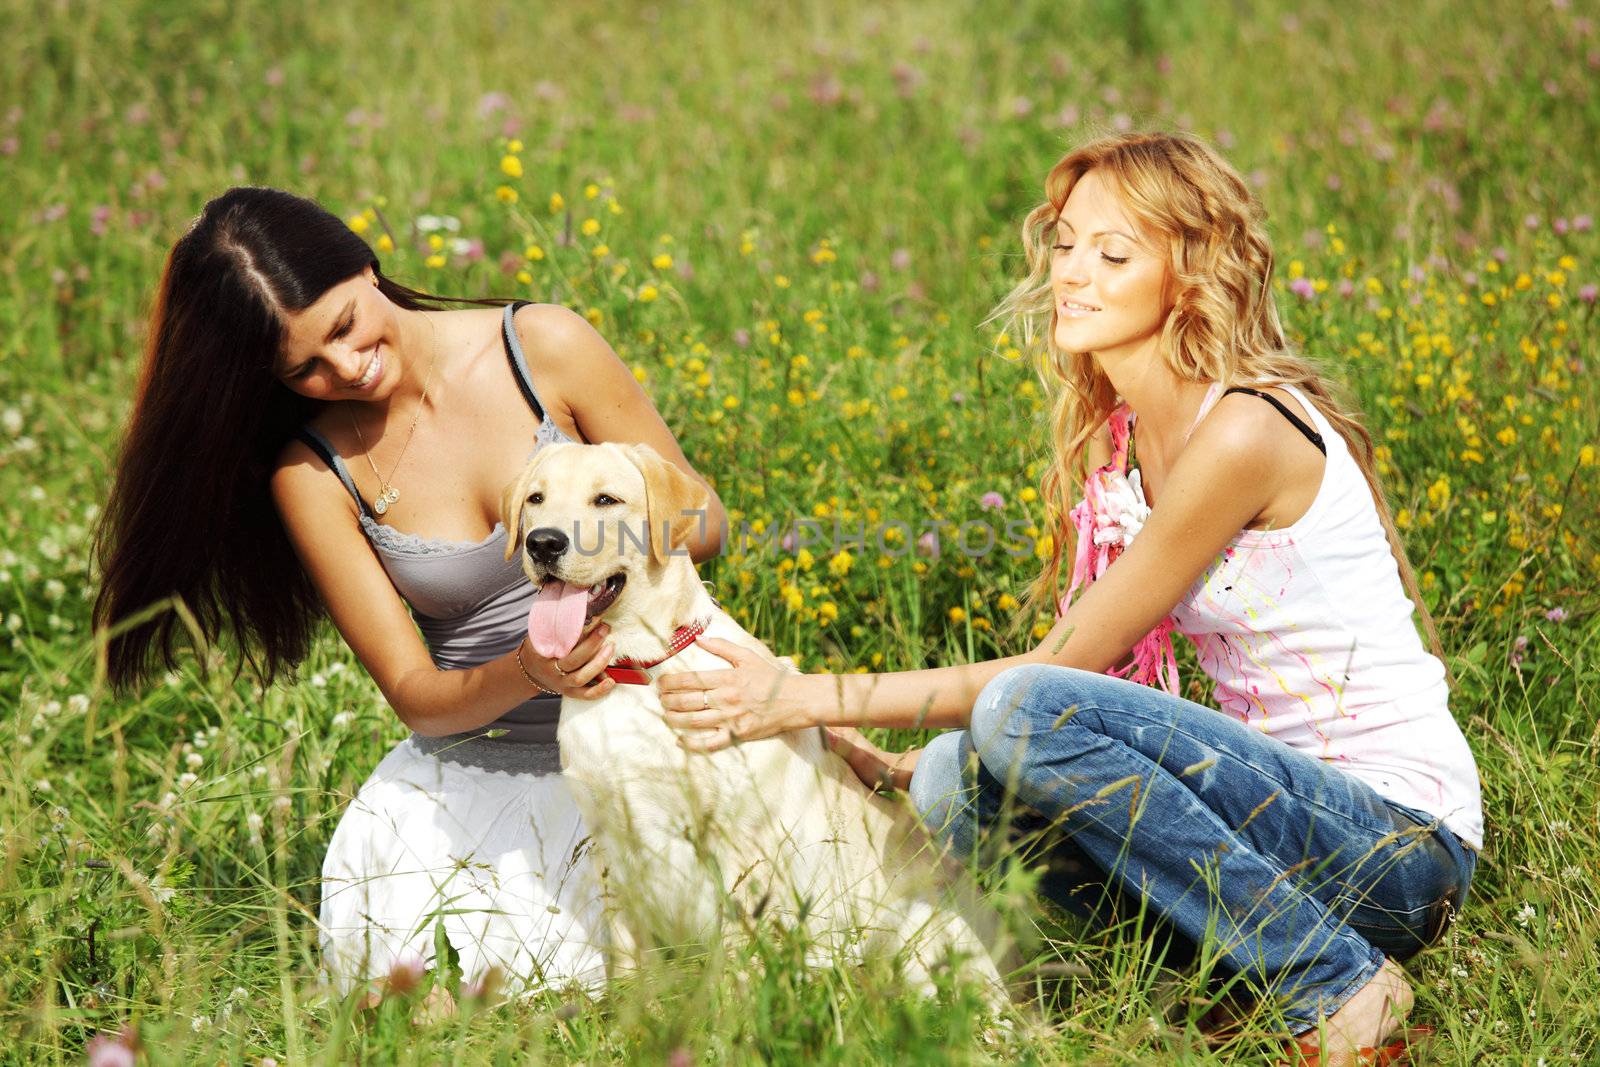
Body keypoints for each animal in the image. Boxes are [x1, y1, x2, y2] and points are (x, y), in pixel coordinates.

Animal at [499, 441, 1004, 1004]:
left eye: (605, 499)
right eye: (536, 499)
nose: (543, 543)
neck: (640, 670)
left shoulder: (740, 848)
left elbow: (738, 961)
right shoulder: (611, 840)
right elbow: (628, 961)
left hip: (914, 932)